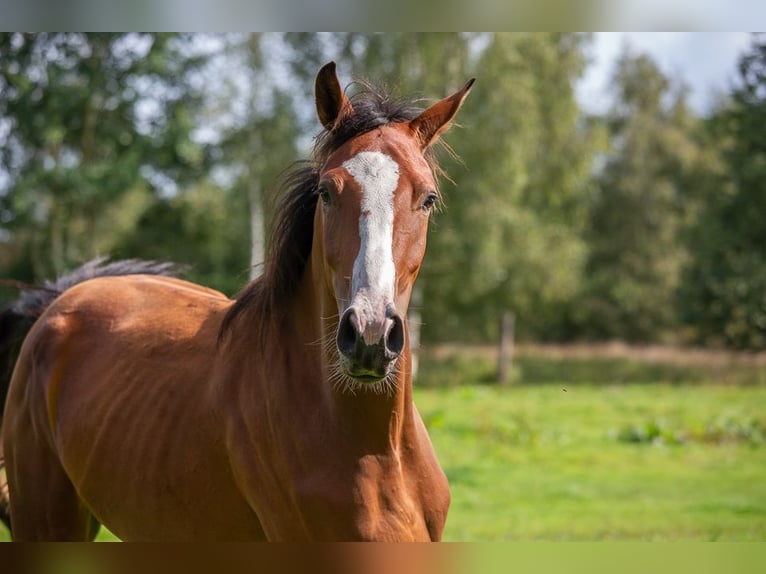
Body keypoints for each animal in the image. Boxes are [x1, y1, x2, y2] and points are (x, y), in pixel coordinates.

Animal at [0, 64, 474, 544]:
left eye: (428, 198)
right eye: (326, 192)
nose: (370, 336)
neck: (378, 452)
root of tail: (59, 301)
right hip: (46, 520)